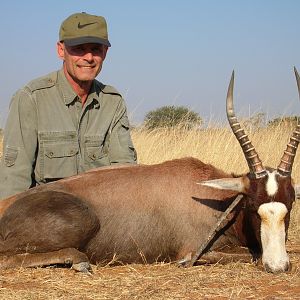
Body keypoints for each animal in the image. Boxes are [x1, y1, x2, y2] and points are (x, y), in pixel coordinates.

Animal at [0, 68, 300, 274]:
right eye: (253, 206)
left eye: (290, 203)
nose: (278, 266)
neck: (217, 200)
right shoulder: (192, 249)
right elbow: (247, 253)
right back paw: (79, 262)